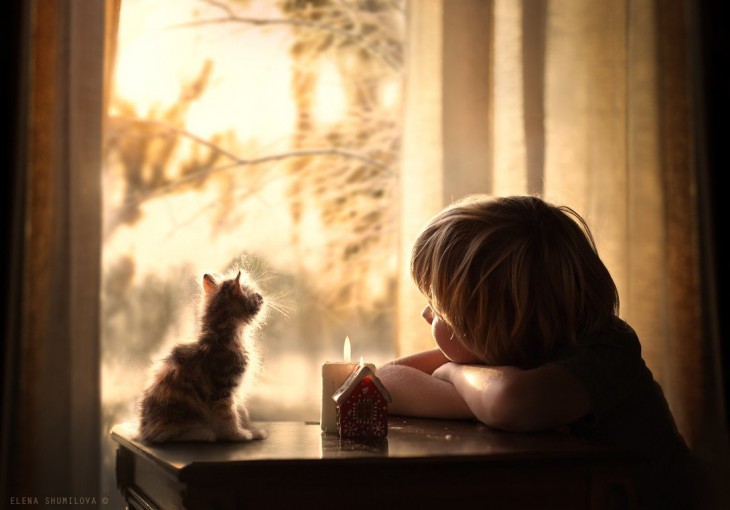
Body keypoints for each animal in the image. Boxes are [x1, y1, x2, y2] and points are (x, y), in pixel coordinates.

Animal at [136, 270, 264, 442]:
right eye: (254, 294)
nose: (262, 296)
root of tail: (144, 432)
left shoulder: (235, 391)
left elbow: (242, 412)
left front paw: (253, 430)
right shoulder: (222, 390)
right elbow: (229, 416)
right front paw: (238, 434)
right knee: (171, 434)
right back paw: (204, 433)